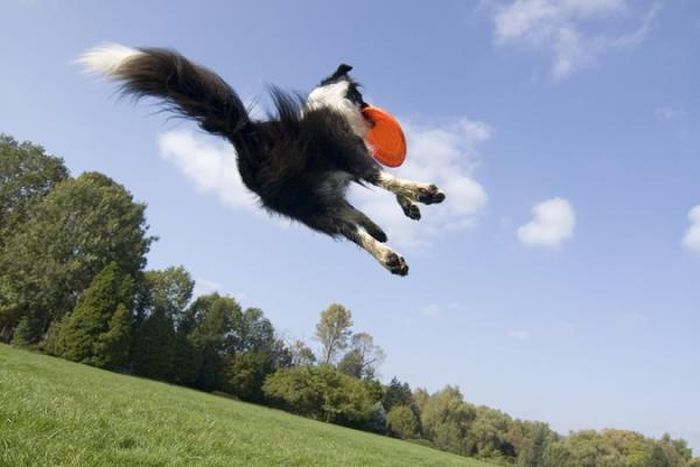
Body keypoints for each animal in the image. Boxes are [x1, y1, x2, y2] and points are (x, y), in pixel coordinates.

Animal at [79, 44, 446, 274]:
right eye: (360, 96)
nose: (371, 110)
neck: (330, 101)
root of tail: (244, 138)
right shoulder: (348, 151)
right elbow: (382, 176)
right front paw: (420, 194)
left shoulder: (345, 167)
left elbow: (379, 184)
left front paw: (408, 207)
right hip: (309, 197)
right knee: (355, 217)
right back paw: (404, 227)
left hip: (309, 203)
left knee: (350, 223)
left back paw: (383, 243)